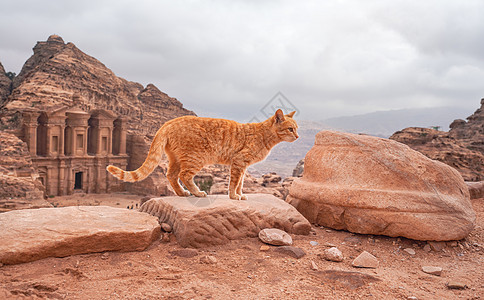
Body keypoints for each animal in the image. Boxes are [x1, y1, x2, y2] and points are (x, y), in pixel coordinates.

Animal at [107, 109, 298, 200]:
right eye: (290, 129)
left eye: (296, 128)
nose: (297, 136)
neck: (265, 136)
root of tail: (168, 122)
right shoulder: (239, 163)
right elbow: (234, 183)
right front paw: (233, 196)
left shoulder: (243, 166)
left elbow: (240, 183)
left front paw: (240, 195)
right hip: (196, 159)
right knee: (184, 176)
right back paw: (197, 193)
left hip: (176, 159)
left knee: (171, 175)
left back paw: (182, 193)